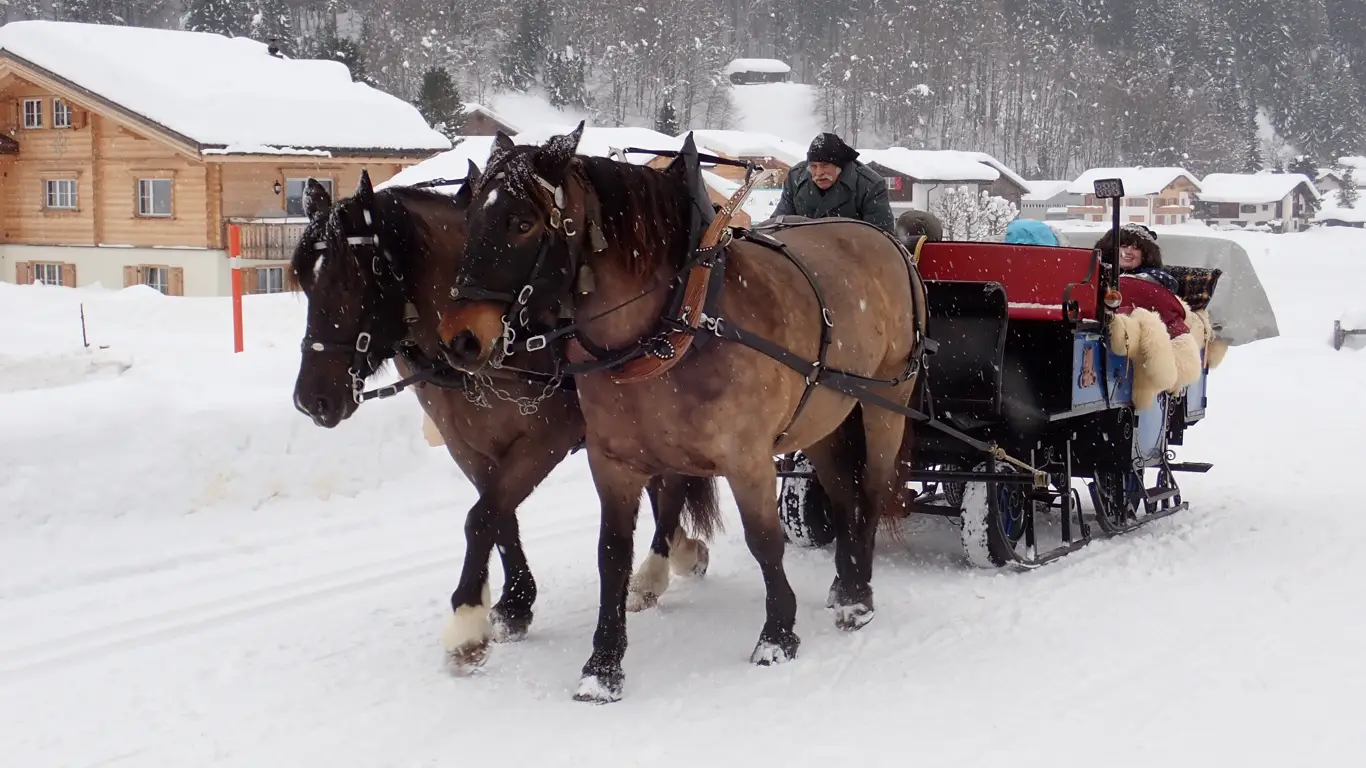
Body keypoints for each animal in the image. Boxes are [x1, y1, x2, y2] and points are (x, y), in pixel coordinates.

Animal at [289, 168, 726, 669]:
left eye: (349, 281)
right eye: (305, 283)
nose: (311, 400)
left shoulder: (548, 437)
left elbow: (482, 517)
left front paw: (467, 618)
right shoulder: (468, 446)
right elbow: (499, 515)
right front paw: (515, 602)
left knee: (671, 482)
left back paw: (662, 561)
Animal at [439, 125, 928, 699]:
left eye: (522, 223)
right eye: (470, 216)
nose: (460, 340)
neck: (678, 320)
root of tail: (889, 242)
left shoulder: (746, 458)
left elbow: (765, 541)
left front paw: (777, 635)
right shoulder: (614, 461)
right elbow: (611, 554)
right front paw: (603, 665)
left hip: (886, 404)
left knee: (870, 492)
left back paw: (858, 597)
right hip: (827, 415)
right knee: (844, 493)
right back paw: (845, 581)